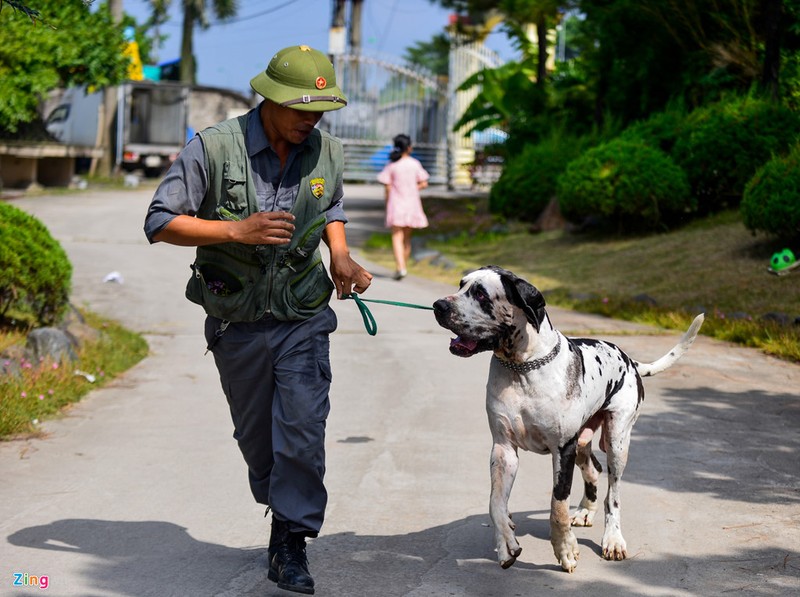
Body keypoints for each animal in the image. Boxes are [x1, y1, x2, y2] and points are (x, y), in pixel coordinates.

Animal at [434, 266, 704, 572]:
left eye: (480, 294)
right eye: (461, 284)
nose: (439, 306)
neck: (521, 367)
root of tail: (629, 359)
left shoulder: (562, 450)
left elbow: (557, 505)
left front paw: (565, 550)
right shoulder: (504, 450)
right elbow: (495, 503)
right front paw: (506, 544)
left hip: (616, 443)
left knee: (614, 495)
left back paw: (613, 539)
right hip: (582, 443)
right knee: (594, 470)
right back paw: (586, 510)